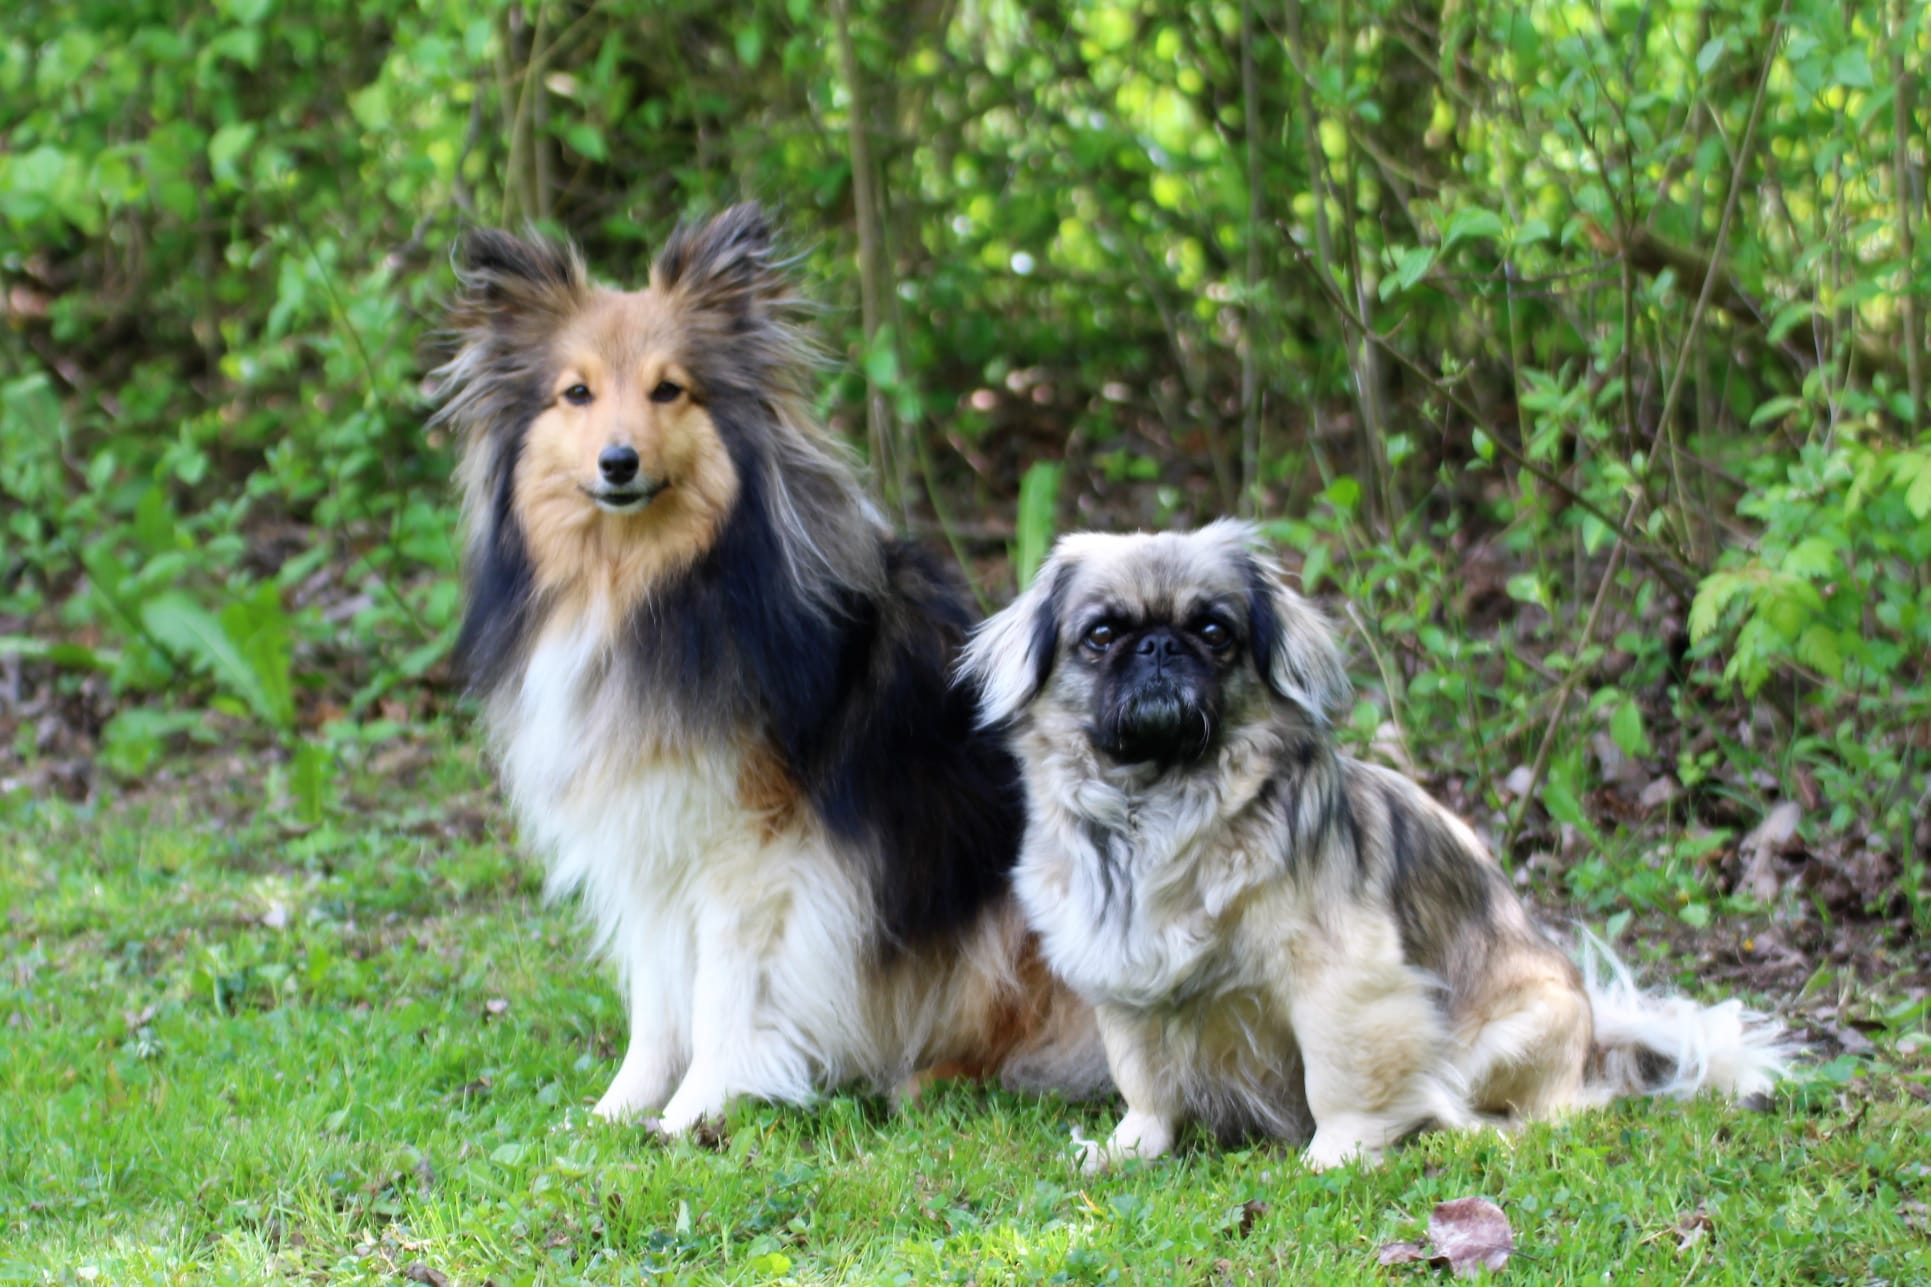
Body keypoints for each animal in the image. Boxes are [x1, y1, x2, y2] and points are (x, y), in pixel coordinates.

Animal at [432, 202, 1112, 1136]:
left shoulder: (752, 850)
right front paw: (620, 1108)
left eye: (669, 389)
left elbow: (724, 992)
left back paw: (934, 1079)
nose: (618, 462)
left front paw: (694, 1112)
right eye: (576, 393)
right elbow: (657, 997)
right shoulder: (653, 837)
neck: (642, 588)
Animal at [957, 517, 1784, 1167]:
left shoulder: (1342, 981)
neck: (1160, 801)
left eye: (1215, 632)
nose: (1160, 644)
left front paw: (1338, 1153)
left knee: (1548, 1109)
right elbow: (1146, 1081)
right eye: (1100, 634)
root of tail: (1596, 1038)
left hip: (1513, 1032)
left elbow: (1339, 1077)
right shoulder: (1124, 980)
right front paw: (1131, 1146)